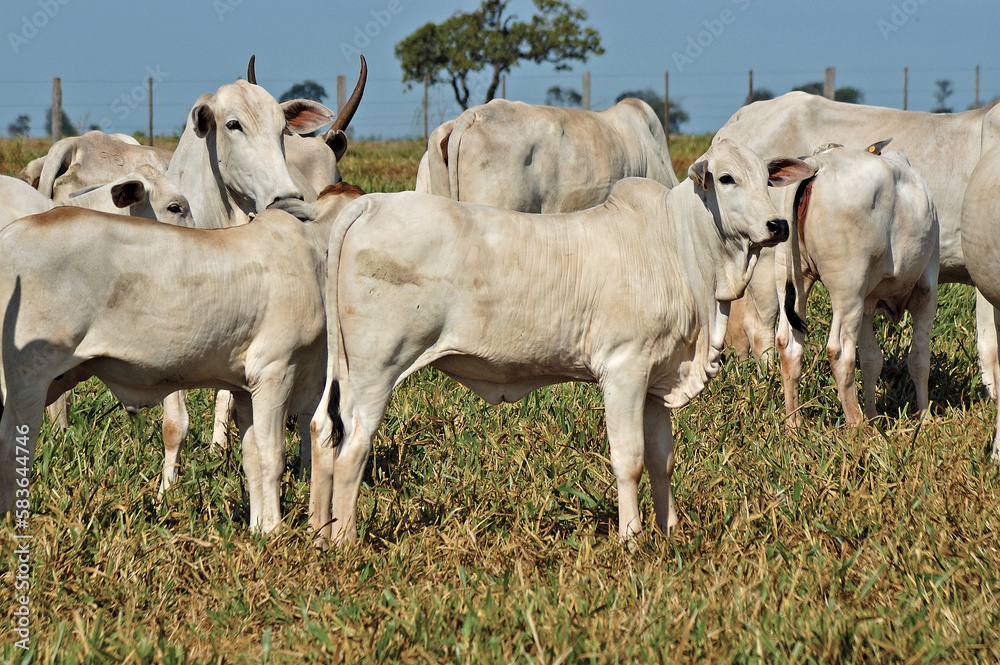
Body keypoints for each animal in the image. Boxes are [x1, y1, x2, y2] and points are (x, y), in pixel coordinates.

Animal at [0, 183, 366, 529]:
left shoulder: (245, 388)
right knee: (14, 443)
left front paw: (257, 528)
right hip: (27, 376)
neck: (312, 253)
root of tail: (9, 235)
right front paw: (274, 529)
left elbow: (251, 456)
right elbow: (270, 455)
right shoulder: (275, 372)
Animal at [305, 139, 814, 545]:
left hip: (344, 372)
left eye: (768, 178)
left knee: (323, 431)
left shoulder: (657, 380)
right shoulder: (624, 370)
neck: (680, 247)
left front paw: (669, 532)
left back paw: (319, 535)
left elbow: (661, 460)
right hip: (377, 369)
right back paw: (346, 542)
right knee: (352, 447)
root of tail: (370, 206)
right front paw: (632, 539)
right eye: (726, 178)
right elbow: (629, 459)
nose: (777, 225)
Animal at [775, 142, 939, 428]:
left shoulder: (867, 302)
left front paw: (874, 415)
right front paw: (924, 419)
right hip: (847, 289)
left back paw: (793, 424)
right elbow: (919, 358)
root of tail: (816, 164)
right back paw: (857, 424)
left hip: (792, 277)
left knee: (789, 344)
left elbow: (872, 360)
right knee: (839, 351)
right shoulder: (927, 287)